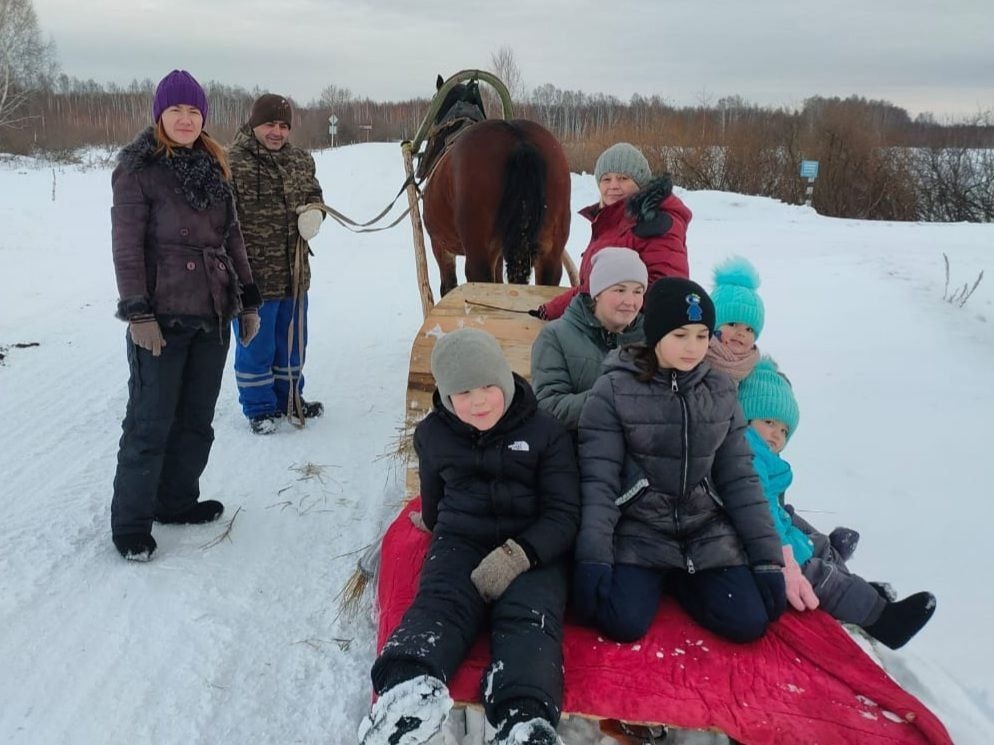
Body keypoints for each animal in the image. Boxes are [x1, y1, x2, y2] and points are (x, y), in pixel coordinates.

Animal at [420, 75, 572, 296]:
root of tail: (519, 141)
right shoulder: (499, 255)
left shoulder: (440, 245)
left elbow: (448, 287)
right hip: (550, 254)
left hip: (478, 256)